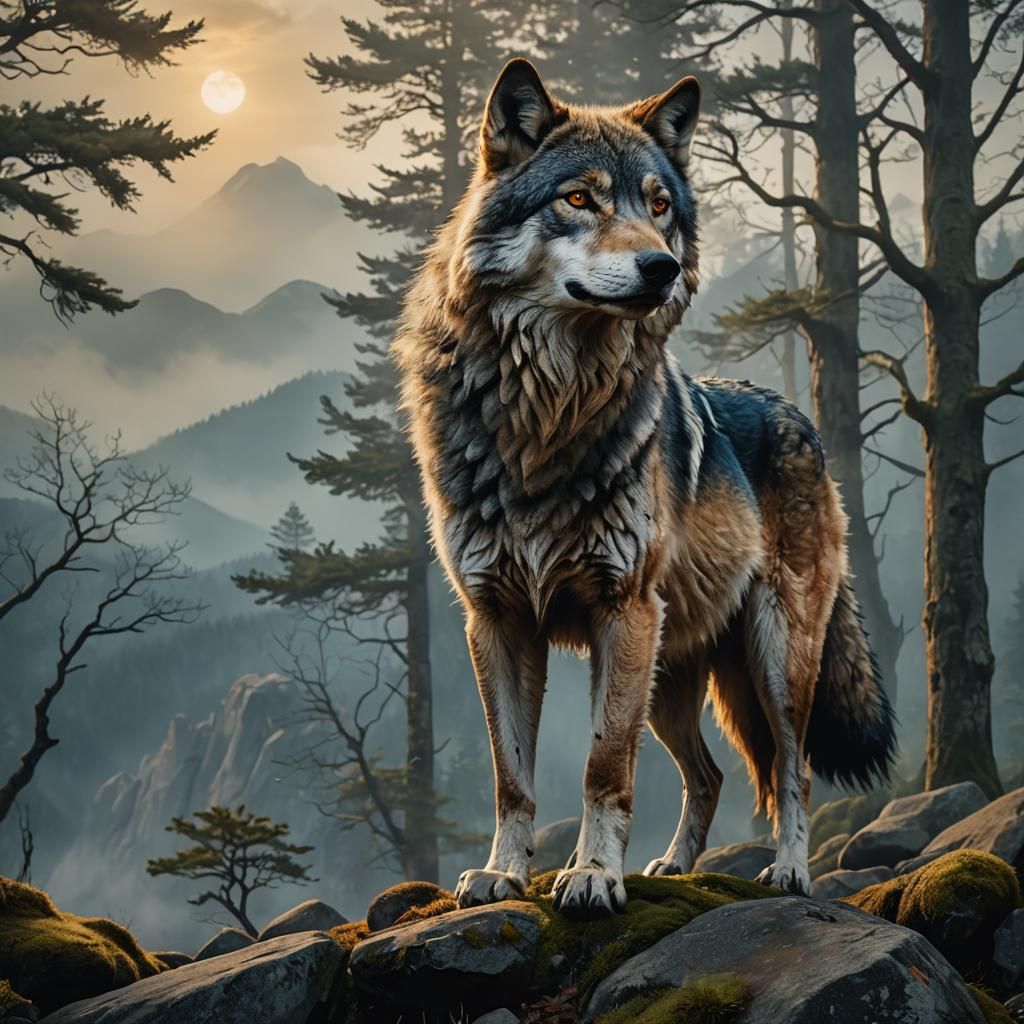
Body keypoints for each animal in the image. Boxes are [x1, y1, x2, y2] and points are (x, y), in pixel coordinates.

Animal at [393, 59, 896, 917]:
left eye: (659, 207)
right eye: (579, 199)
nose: (660, 266)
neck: (547, 412)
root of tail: (798, 417)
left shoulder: (619, 609)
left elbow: (603, 768)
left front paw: (593, 876)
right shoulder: (495, 618)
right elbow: (511, 776)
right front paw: (502, 874)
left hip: (769, 656)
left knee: (789, 770)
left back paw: (788, 874)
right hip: (668, 674)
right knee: (713, 774)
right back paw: (673, 869)